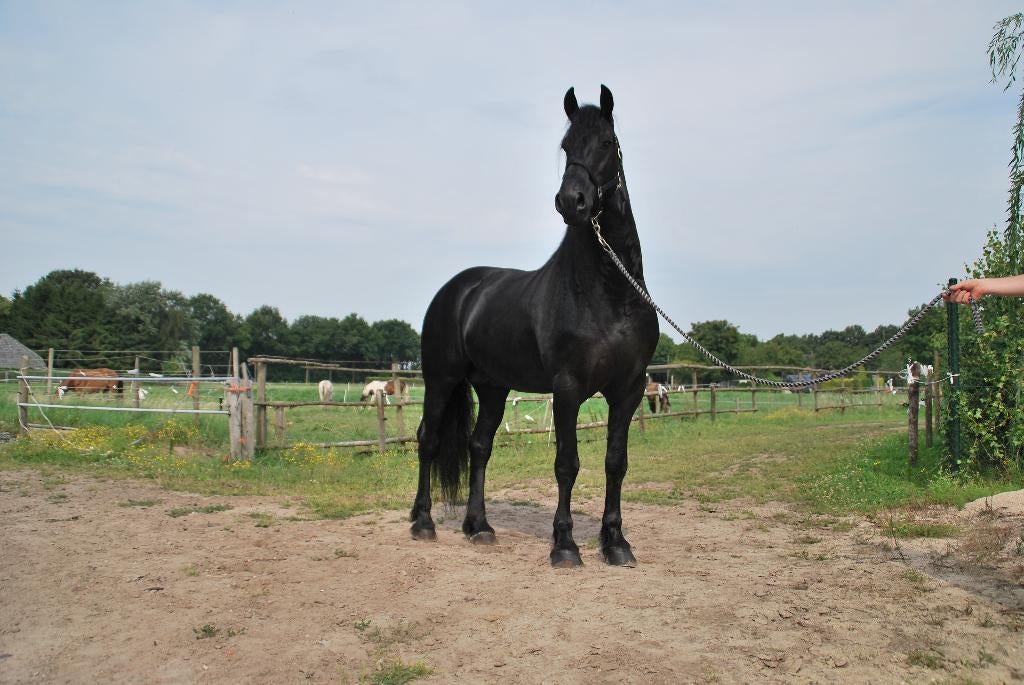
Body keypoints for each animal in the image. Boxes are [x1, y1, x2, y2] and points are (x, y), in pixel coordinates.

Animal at [411, 86, 659, 568]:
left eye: (607, 143)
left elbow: (615, 463)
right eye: (565, 147)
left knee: (479, 447)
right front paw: (564, 545)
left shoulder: (629, 389)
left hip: (491, 386)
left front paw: (616, 542)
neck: (610, 293)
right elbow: (567, 463)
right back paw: (423, 522)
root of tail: (457, 289)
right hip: (441, 379)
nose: (571, 202)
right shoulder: (567, 388)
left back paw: (479, 527)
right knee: (428, 441)